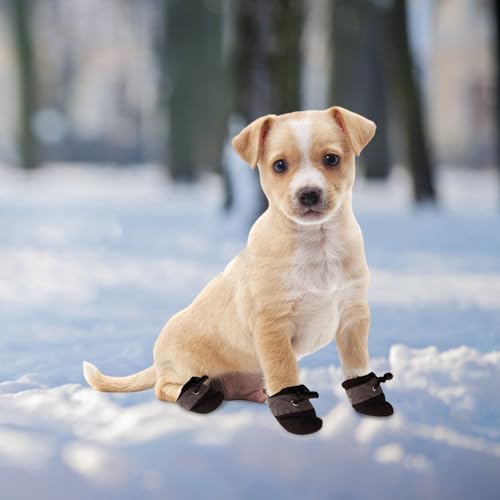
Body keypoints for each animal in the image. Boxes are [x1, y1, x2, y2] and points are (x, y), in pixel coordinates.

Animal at [83, 105, 394, 434]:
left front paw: (368, 402)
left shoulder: (353, 316)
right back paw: (196, 396)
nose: (308, 193)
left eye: (332, 159)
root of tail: (158, 362)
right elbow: (284, 371)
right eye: (279, 165)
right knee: (164, 387)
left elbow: (356, 364)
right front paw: (296, 415)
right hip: (183, 369)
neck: (316, 244)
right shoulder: (272, 326)